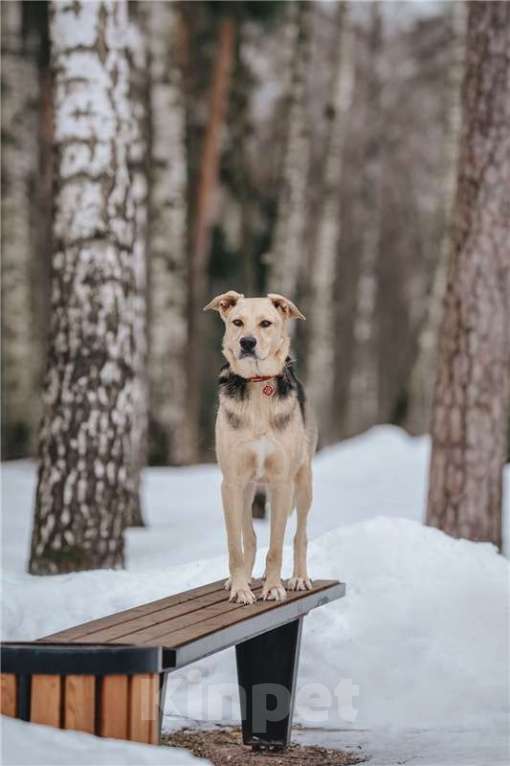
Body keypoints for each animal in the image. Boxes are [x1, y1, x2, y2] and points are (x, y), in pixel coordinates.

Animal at [204, 292, 316, 608]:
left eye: (266, 323)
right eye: (237, 322)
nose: (247, 342)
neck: (257, 386)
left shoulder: (281, 483)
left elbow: (276, 546)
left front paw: (274, 587)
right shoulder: (231, 483)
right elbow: (236, 545)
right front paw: (241, 589)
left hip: (304, 484)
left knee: (300, 535)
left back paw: (298, 577)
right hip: (246, 490)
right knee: (250, 538)